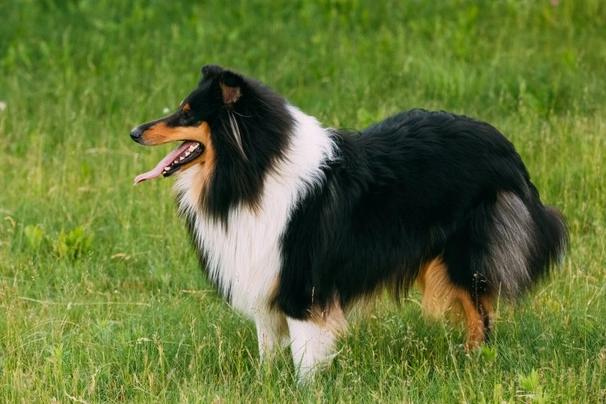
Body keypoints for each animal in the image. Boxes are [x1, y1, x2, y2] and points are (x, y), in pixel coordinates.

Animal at [129, 64, 568, 382]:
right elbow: (267, 346)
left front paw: (303, 390)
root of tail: (507, 149)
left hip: (464, 255)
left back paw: (477, 360)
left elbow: (305, 353)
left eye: (188, 113)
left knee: (482, 312)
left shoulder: (301, 284)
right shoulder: (263, 273)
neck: (254, 170)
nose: (133, 131)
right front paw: (265, 384)